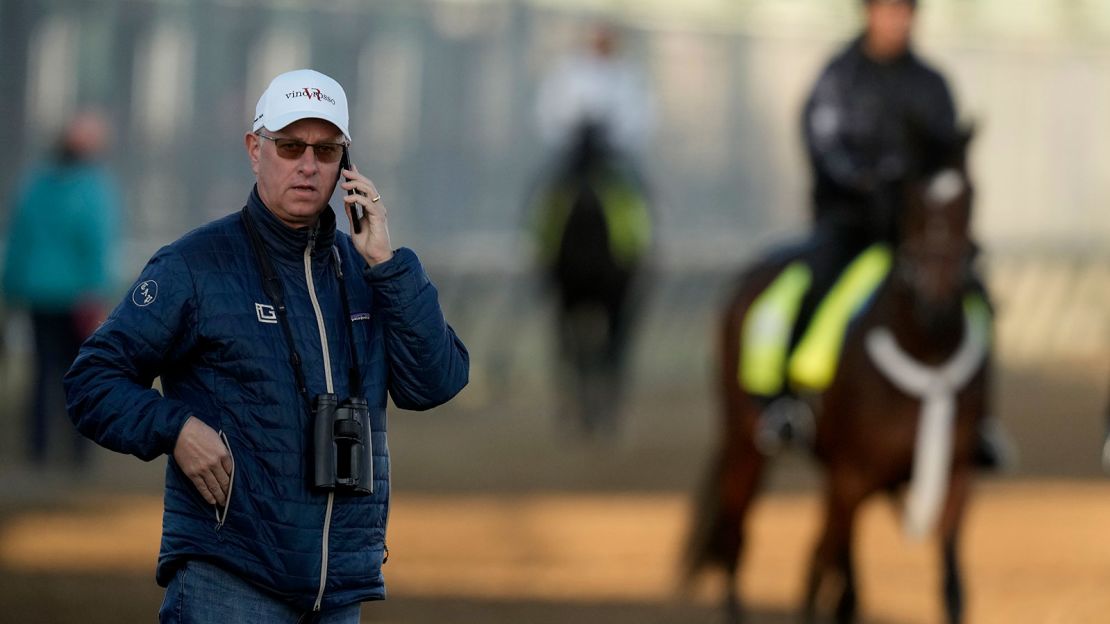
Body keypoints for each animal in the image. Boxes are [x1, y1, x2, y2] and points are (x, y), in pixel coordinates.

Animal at [532, 120, 652, 433]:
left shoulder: (572, 289)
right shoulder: (613, 292)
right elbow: (608, 346)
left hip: (572, 292)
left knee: (578, 346)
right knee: (602, 346)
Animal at [683, 128, 990, 617]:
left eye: (970, 196)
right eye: (912, 200)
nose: (937, 303)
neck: (926, 352)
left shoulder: (954, 474)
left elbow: (950, 586)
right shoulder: (852, 477)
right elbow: (823, 566)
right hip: (745, 442)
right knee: (736, 539)